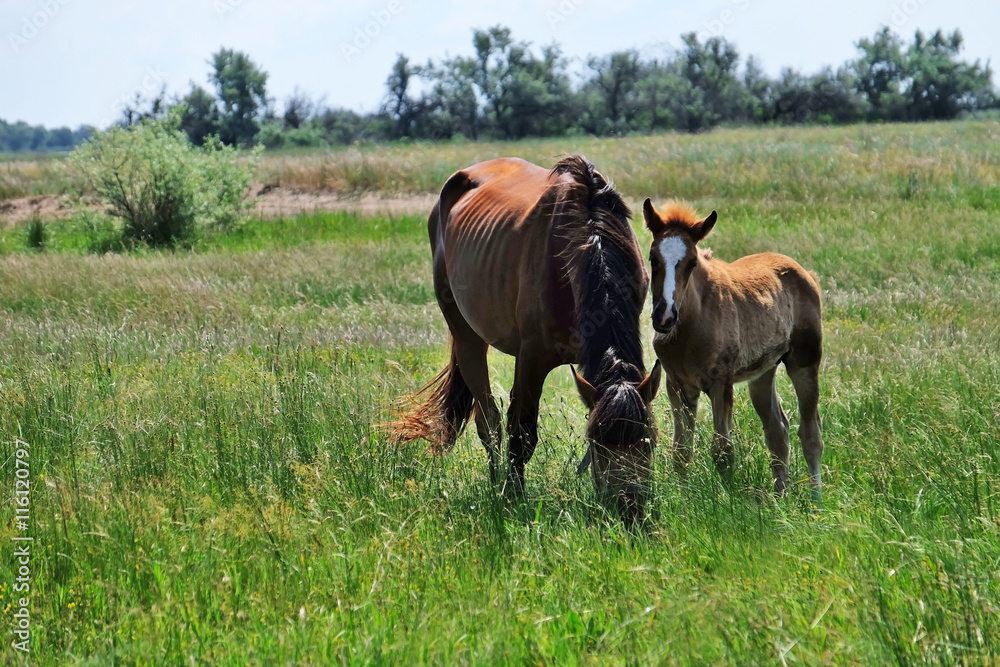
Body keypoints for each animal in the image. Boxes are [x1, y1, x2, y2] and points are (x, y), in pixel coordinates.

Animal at [394, 157, 660, 520]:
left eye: (649, 441)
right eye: (597, 444)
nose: (628, 510)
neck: (589, 238)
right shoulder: (532, 357)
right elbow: (521, 433)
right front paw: (514, 497)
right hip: (466, 335)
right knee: (489, 421)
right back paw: (495, 484)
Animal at [644, 200, 824, 500]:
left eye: (692, 262)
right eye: (652, 258)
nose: (665, 317)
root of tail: (806, 274)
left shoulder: (721, 383)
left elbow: (723, 451)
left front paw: (727, 502)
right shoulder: (677, 385)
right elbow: (681, 452)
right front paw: (682, 500)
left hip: (805, 362)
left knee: (811, 434)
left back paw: (816, 503)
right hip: (762, 373)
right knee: (777, 431)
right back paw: (780, 499)